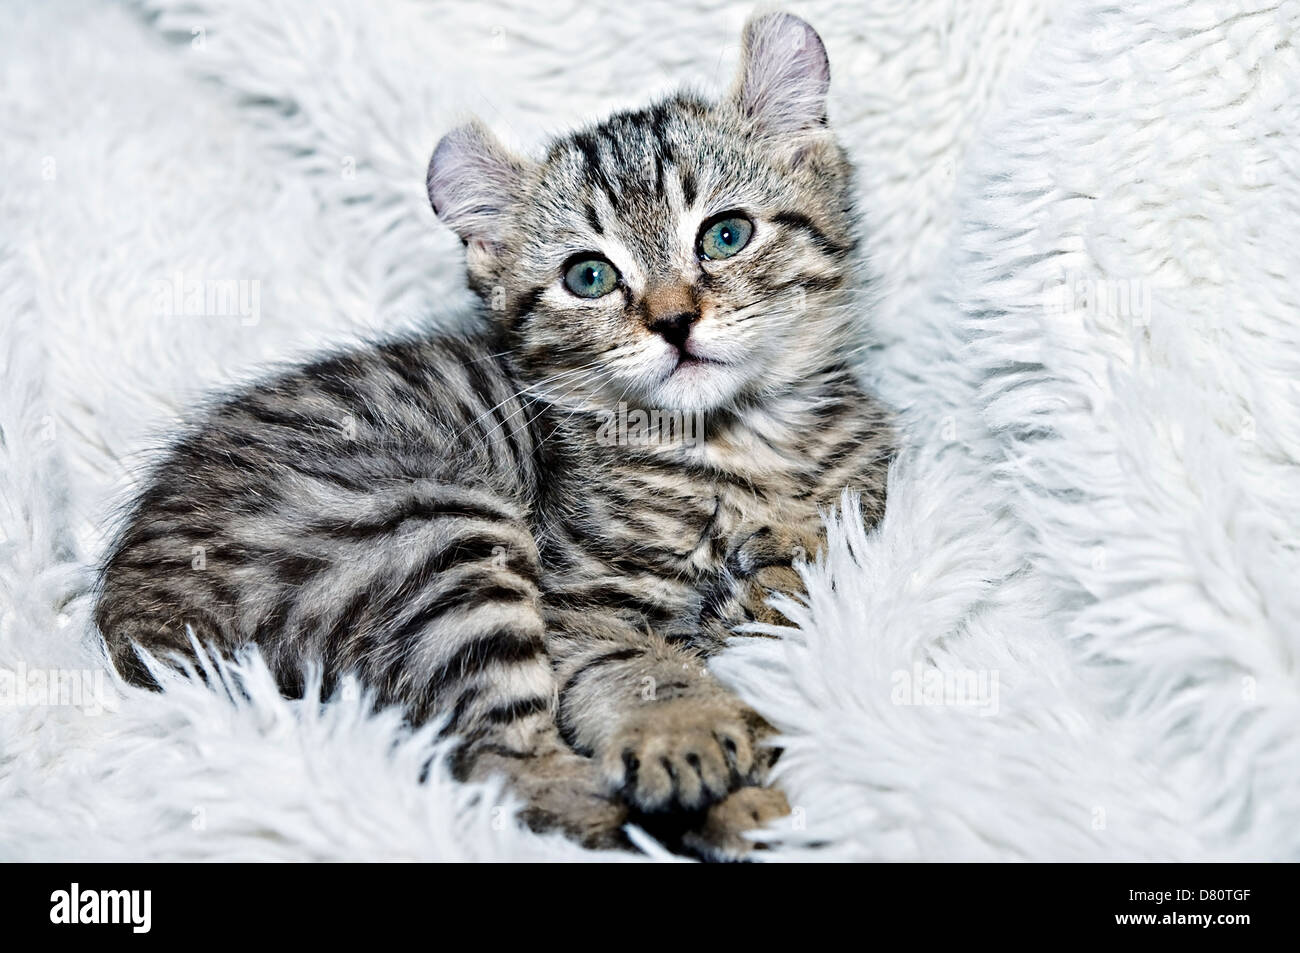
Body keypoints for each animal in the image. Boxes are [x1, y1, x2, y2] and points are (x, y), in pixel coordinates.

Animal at [96, 9, 894, 852]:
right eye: (589, 277)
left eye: (726, 234)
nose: (674, 320)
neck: (735, 441)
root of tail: (138, 618)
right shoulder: (578, 601)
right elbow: (638, 663)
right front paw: (686, 729)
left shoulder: (850, 516)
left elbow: (782, 581)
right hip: (436, 528)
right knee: (499, 766)